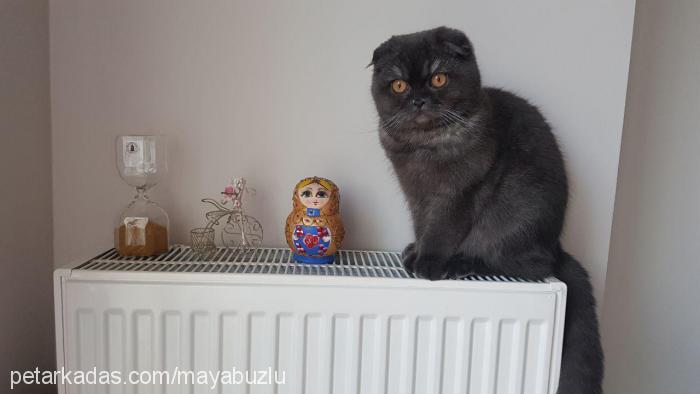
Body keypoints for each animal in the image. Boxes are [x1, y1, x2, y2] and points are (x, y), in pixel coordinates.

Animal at [370, 26, 604, 394]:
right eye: (399, 85)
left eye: (438, 78)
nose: (418, 99)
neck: (425, 148)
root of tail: (556, 245)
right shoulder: (416, 197)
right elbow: (422, 226)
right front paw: (414, 252)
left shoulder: (457, 196)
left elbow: (440, 231)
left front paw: (427, 264)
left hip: (512, 222)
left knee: (525, 264)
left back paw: (461, 263)